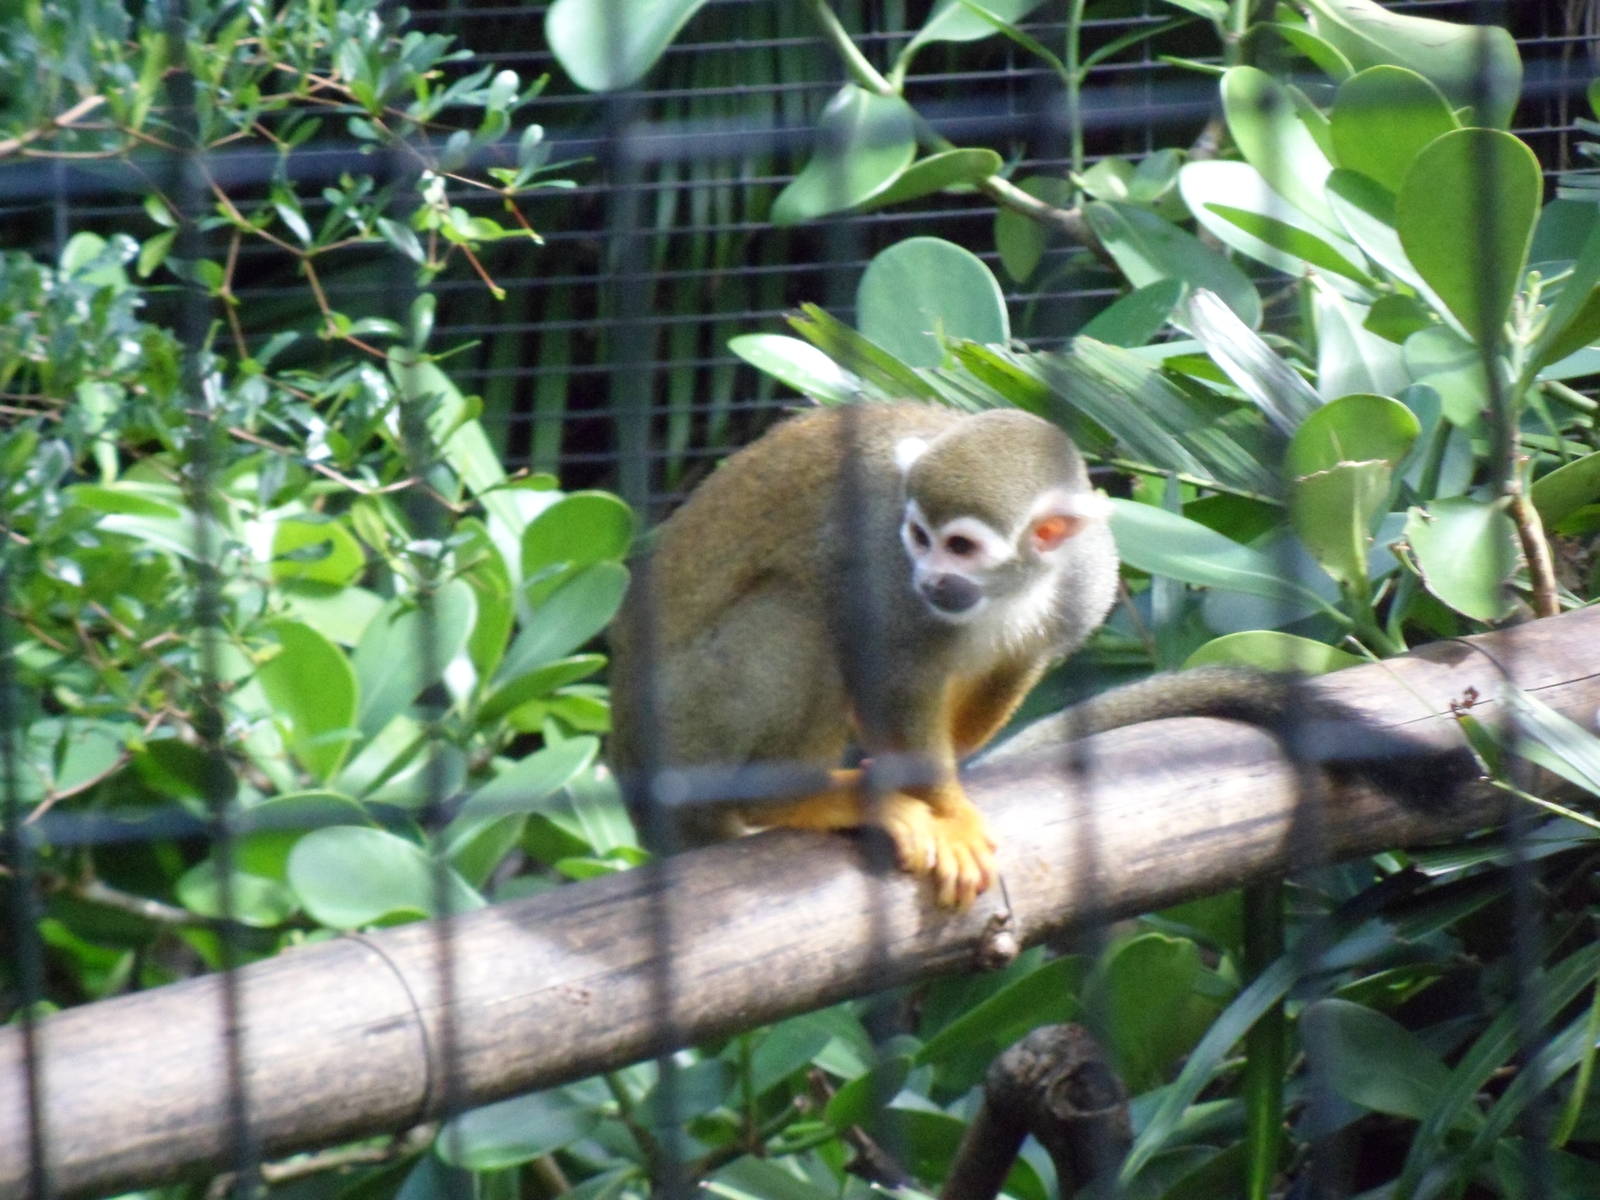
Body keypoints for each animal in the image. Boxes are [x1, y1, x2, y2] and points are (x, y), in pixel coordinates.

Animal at [607, 402, 1476, 908]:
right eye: (917, 536)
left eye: (960, 545)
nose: (931, 577)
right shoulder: (881, 564)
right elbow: (891, 678)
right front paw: (948, 809)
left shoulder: (1089, 570)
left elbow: (1015, 665)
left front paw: (946, 768)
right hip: (685, 730)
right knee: (797, 613)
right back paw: (792, 799)